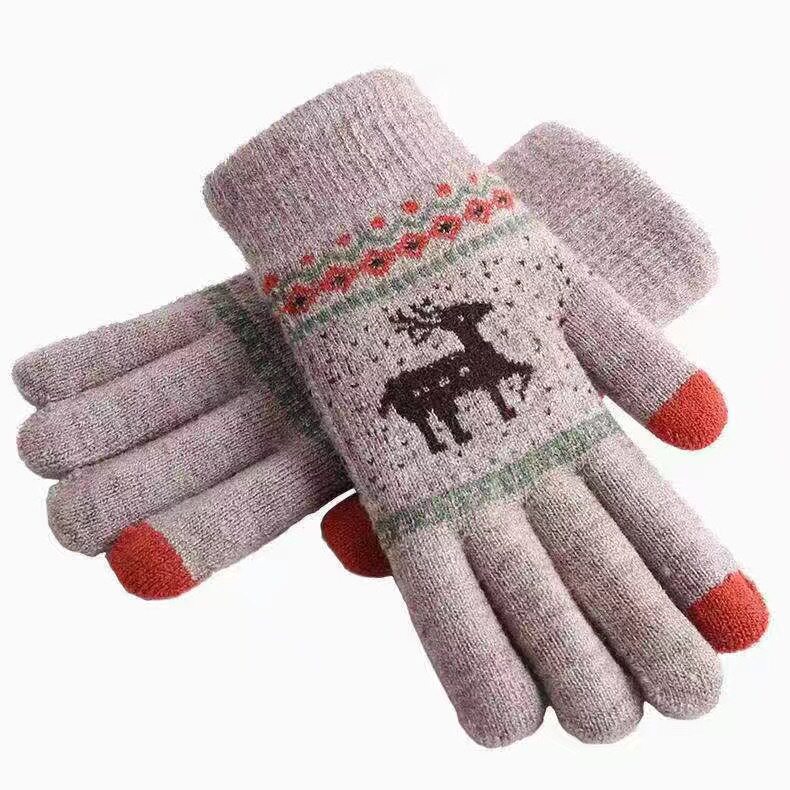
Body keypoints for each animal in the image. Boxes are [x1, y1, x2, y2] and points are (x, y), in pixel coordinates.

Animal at [378, 300, 533, 453]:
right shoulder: (489, 379)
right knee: (427, 425)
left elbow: (525, 370)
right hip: (426, 406)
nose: (486, 306)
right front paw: (510, 411)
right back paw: (449, 443)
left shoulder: (501, 371)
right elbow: (500, 395)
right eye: (463, 312)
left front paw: (517, 399)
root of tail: (389, 390)